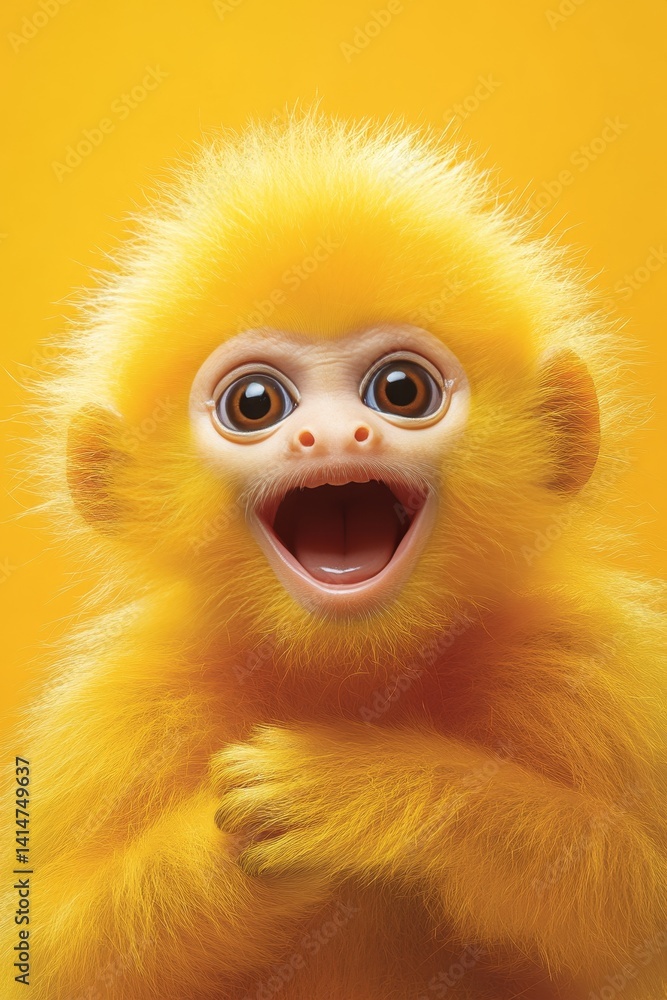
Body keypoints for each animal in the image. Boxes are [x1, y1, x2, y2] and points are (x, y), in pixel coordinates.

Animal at [3, 111, 666, 1000]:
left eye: (400, 390)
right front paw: (228, 851)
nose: (332, 435)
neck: (351, 674)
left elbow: (641, 913)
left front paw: (362, 794)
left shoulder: (588, 667)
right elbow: (57, 947)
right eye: (254, 404)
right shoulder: (126, 710)